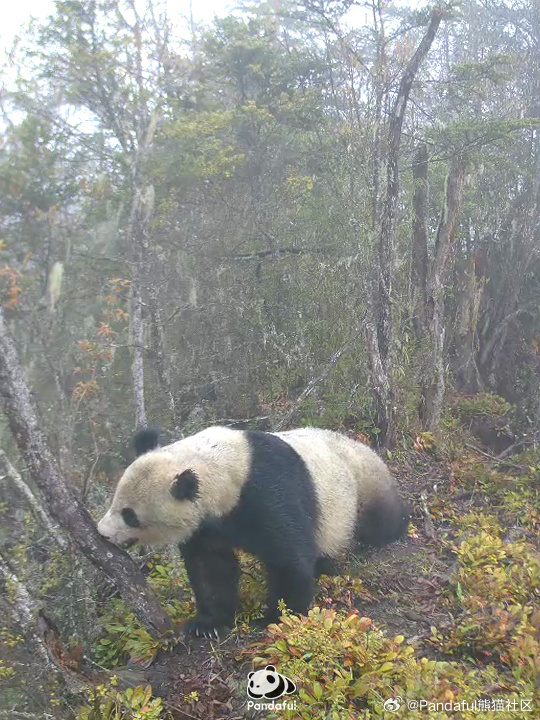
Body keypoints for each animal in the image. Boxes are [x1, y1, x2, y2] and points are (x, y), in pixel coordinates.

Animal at [97, 424, 410, 640]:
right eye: (115, 500)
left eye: (130, 515)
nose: (103, 533)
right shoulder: (207, 522)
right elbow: (211, 568)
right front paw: (207, 625)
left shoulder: (265, 492)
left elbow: (288, 556)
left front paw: (279, 617)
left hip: (358, 485)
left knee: (379, 521)